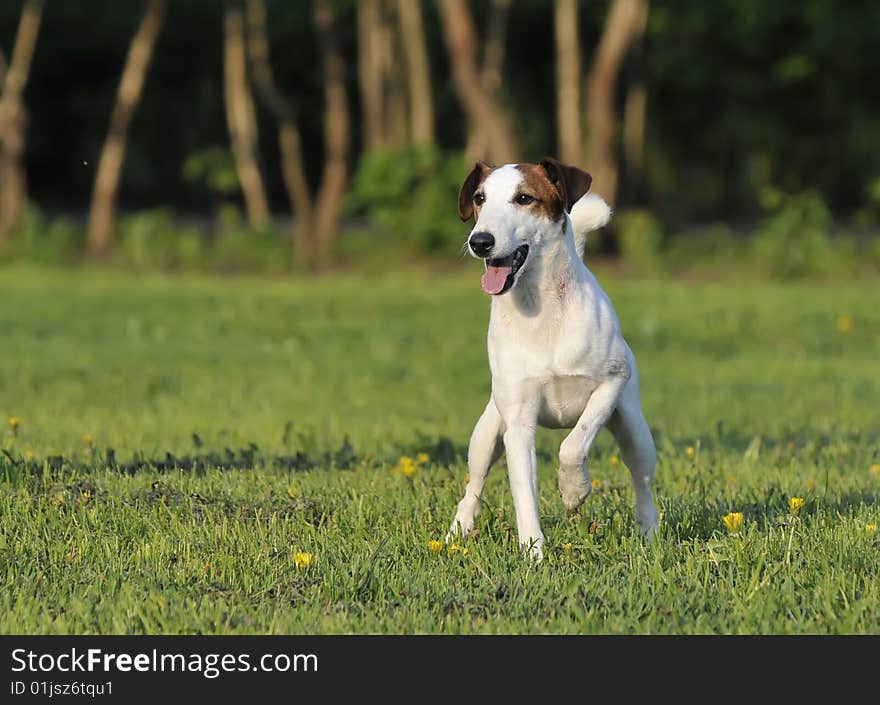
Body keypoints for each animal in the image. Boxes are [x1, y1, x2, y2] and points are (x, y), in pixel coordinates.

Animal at [450, 157, 656, 560]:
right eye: (480, 198)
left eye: (524, 198)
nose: (479, 241)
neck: (541, 309)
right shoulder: (517, 424)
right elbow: (523, 492)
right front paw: (533, 552)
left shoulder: (612, 382)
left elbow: (574, 442)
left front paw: (574, 490)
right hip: (486, 433)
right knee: (474, 483)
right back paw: (457, 531)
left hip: (634, 429)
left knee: (641, 478)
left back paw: (649, 532)